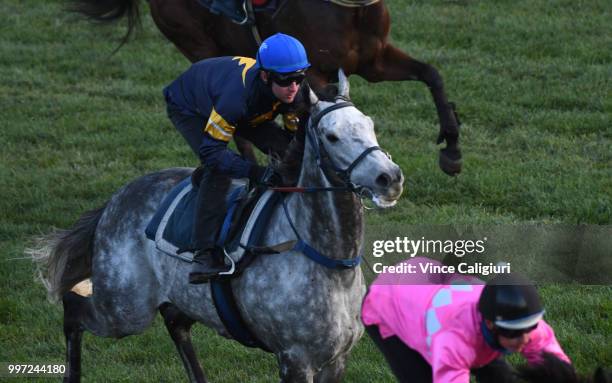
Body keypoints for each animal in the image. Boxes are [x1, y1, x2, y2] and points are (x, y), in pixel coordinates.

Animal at [34, 70, 406, 383]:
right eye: (332, 136)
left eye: (369, 124)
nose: (389, 178)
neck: (327, 261)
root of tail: (115, 200)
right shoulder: (294, 359)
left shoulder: (336, 359)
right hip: (124, 308)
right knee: (74, 309)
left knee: (176, 325)